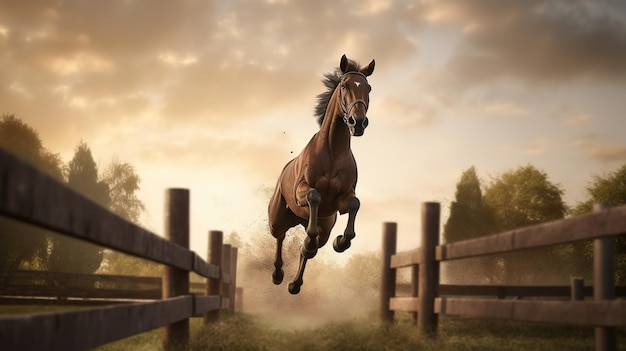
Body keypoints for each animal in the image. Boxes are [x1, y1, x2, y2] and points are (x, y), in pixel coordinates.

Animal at [266, 54, 372, 294]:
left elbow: (355, 204)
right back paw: (278, 275)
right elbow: (314, 196)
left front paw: (340, 242)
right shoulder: (302, 192)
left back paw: (295, 284)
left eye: (368, 88)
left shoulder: (341, 200)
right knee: (280, 236)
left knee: (308, 250)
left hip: (324, 227)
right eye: (344, 85)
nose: (358, 122)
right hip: (277, 217)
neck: (332, 150)